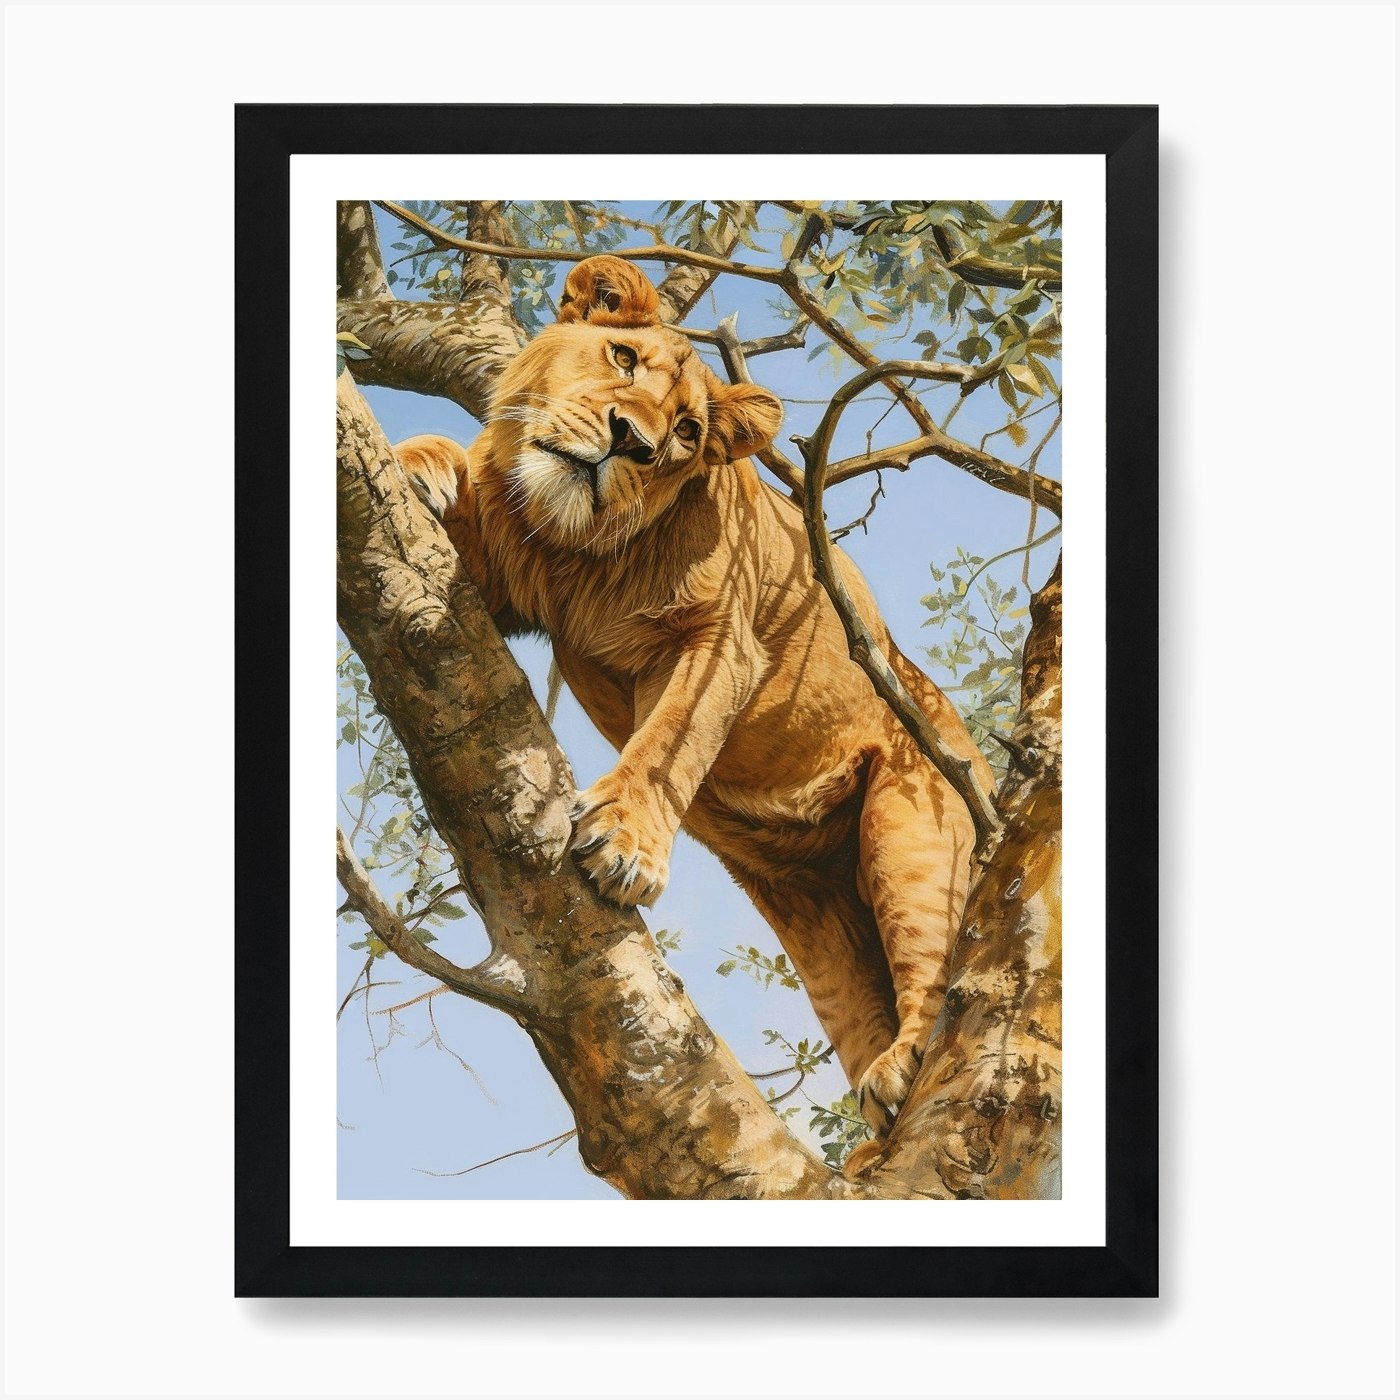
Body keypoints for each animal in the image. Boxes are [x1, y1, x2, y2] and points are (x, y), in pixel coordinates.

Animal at [395, 255, 994, 1136]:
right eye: (623, 359)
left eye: (685, 432)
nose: (630, 442)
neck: (566, 547)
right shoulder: (499, 588)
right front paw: (423, 462)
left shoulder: (720, 641)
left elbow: (669, 742)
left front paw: (625, 847)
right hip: (816, 918)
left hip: (913, 828)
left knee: (935, 967)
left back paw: (905, 1067)